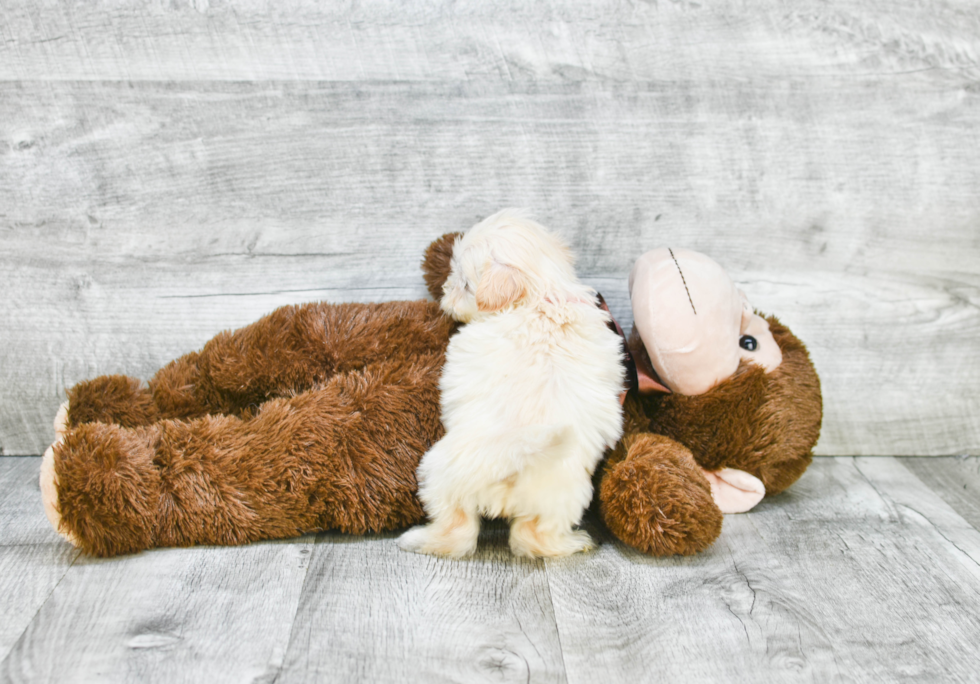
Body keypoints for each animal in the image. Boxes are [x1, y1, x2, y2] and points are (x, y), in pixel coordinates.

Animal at [400, 211, 624, 560]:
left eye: (465, 284)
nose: (446, 291)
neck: (542, 294)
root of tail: (517, 457)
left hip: (439, 475)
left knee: (458, 531)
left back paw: (419, 539)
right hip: (560, 498)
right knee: (533, 537)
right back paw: (574, 543)